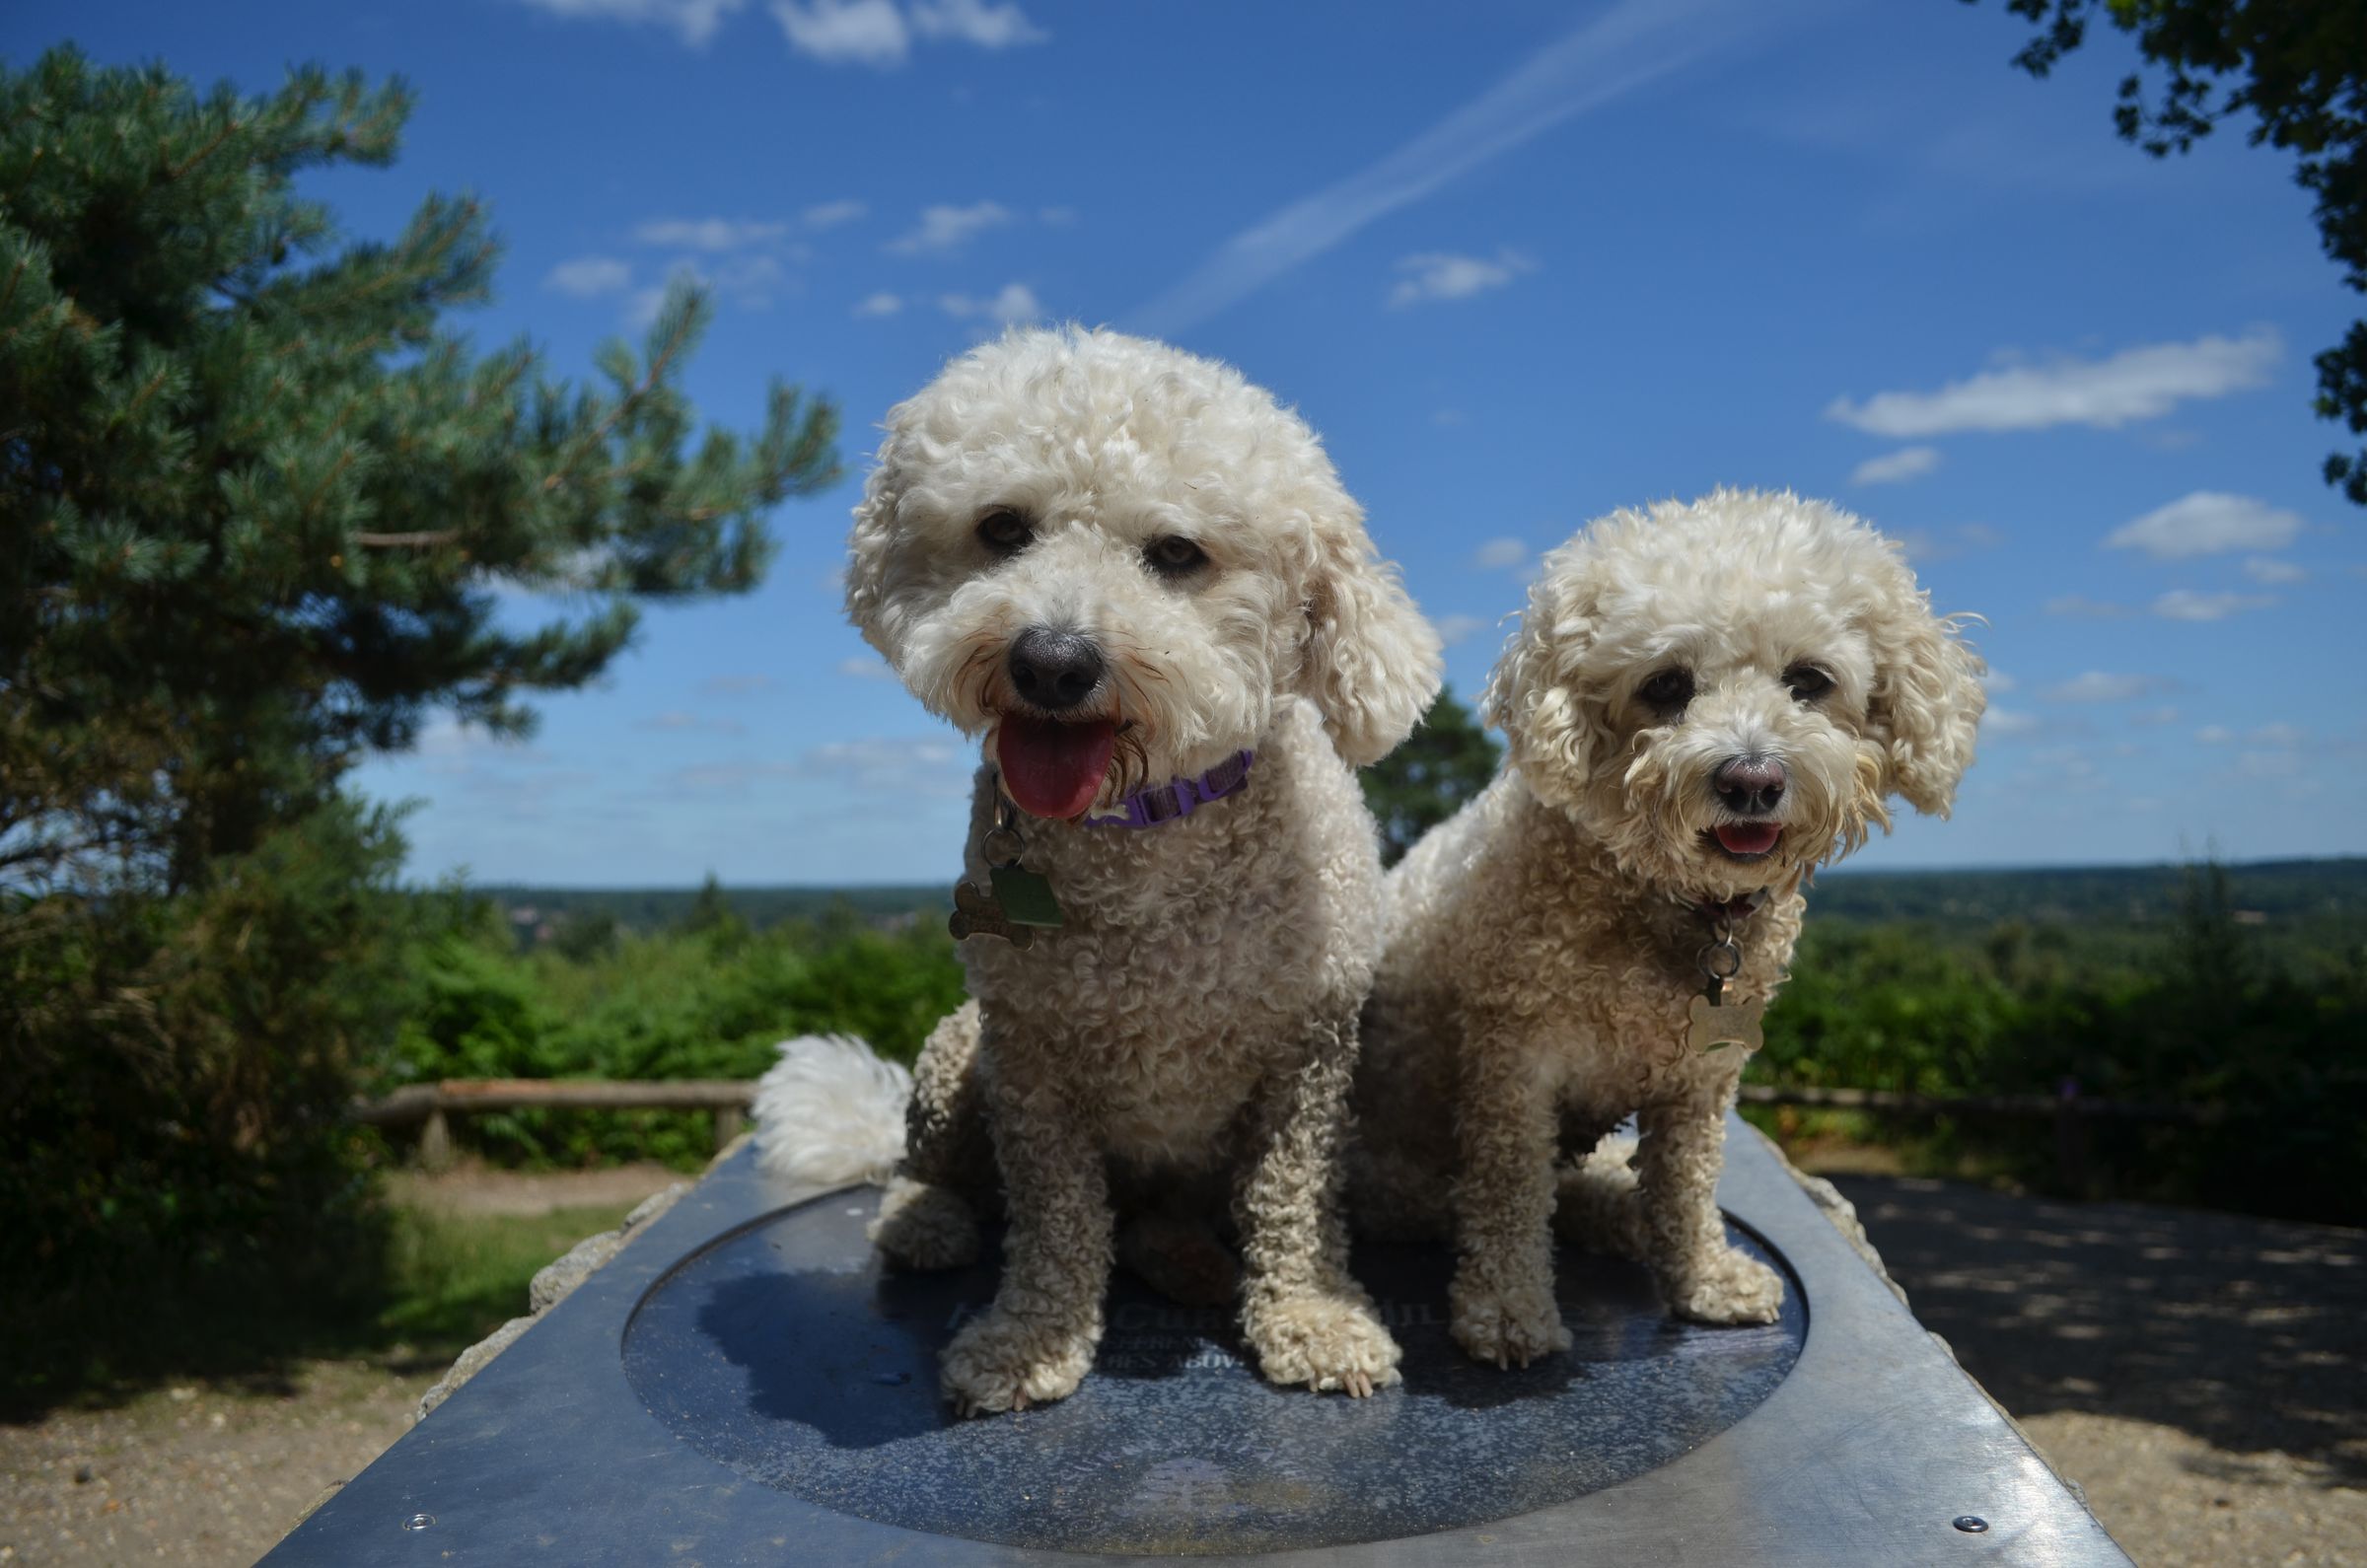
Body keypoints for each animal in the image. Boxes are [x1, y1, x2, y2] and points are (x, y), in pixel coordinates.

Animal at [753, 324, 1439, 1421]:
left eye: (1177, 554)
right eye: (1002, 528)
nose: (1052, 661)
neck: (1145, 833)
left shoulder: (1311, 1054)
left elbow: (1292, 1198)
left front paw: (1311, 1318)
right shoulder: (1031, 1055)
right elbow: (1054, 1212)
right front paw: (1030, 1339)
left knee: (1166, 1217)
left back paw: (1189, 1259)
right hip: (960, 1052)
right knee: (928, 1167)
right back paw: (924, 1221)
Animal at [1353, 494, 1978, 1374]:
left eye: (1809, 681)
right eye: (1667, 685)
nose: (1751, 780)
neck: (1671, 898)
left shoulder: (1702, 1074)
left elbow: (1688, 1180)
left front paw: (1706, 1278)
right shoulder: (1514, 1061)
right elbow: (1509, 1190)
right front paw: (1507, 1311)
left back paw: (1624, 1214)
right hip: (1402, 1176)